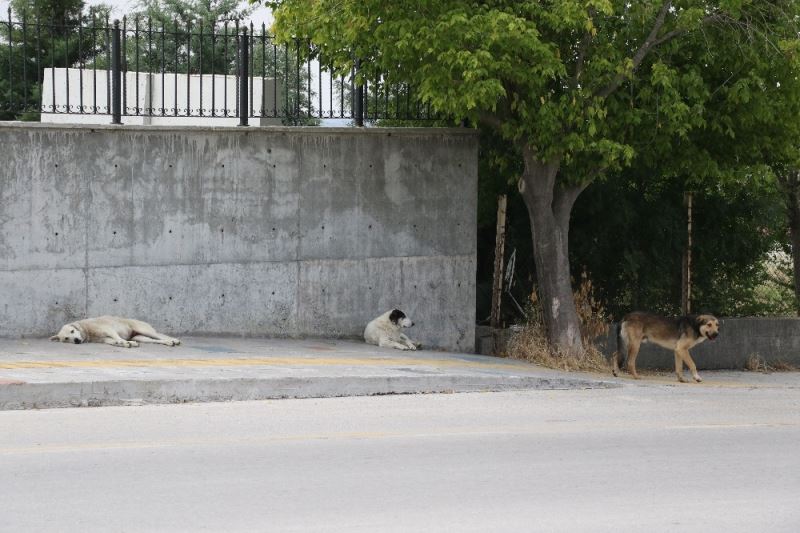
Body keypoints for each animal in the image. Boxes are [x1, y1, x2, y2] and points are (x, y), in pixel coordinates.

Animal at [50, 314, 181, 348]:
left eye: (72, 331)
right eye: (66, 338)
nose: (77, 340)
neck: (87, 330)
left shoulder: (109, 330)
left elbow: (118, 338)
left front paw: (126, 343)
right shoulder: (105, 339)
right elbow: (114, 341)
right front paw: (126, 343)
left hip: (143, 329)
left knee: (159, 335)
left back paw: (173, 340)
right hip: (141, 337)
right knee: (154, 340)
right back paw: (168, 342)